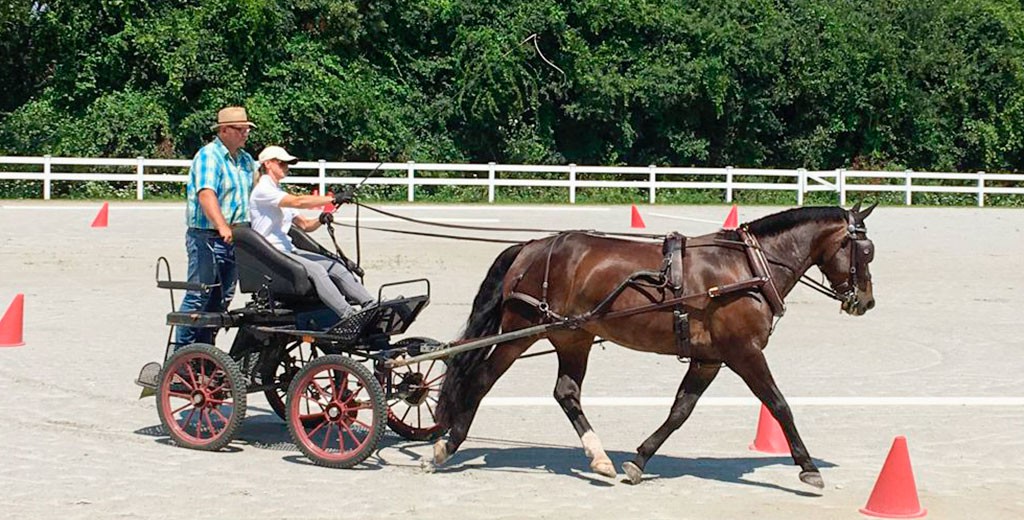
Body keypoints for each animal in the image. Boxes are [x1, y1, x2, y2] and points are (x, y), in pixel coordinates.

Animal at [434, 202, 880, 487]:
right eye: (866, 250)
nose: (865, 301)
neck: (748, 267)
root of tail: (531, 247)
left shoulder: (708, 359)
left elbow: (680, 411)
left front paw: (638, 460)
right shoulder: (744, 352)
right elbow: (779, 404)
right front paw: (808, 467)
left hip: (573, 336)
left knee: (566, 392)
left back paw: (600, 459)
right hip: (523, 329)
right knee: (482, 380)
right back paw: (446, 445)